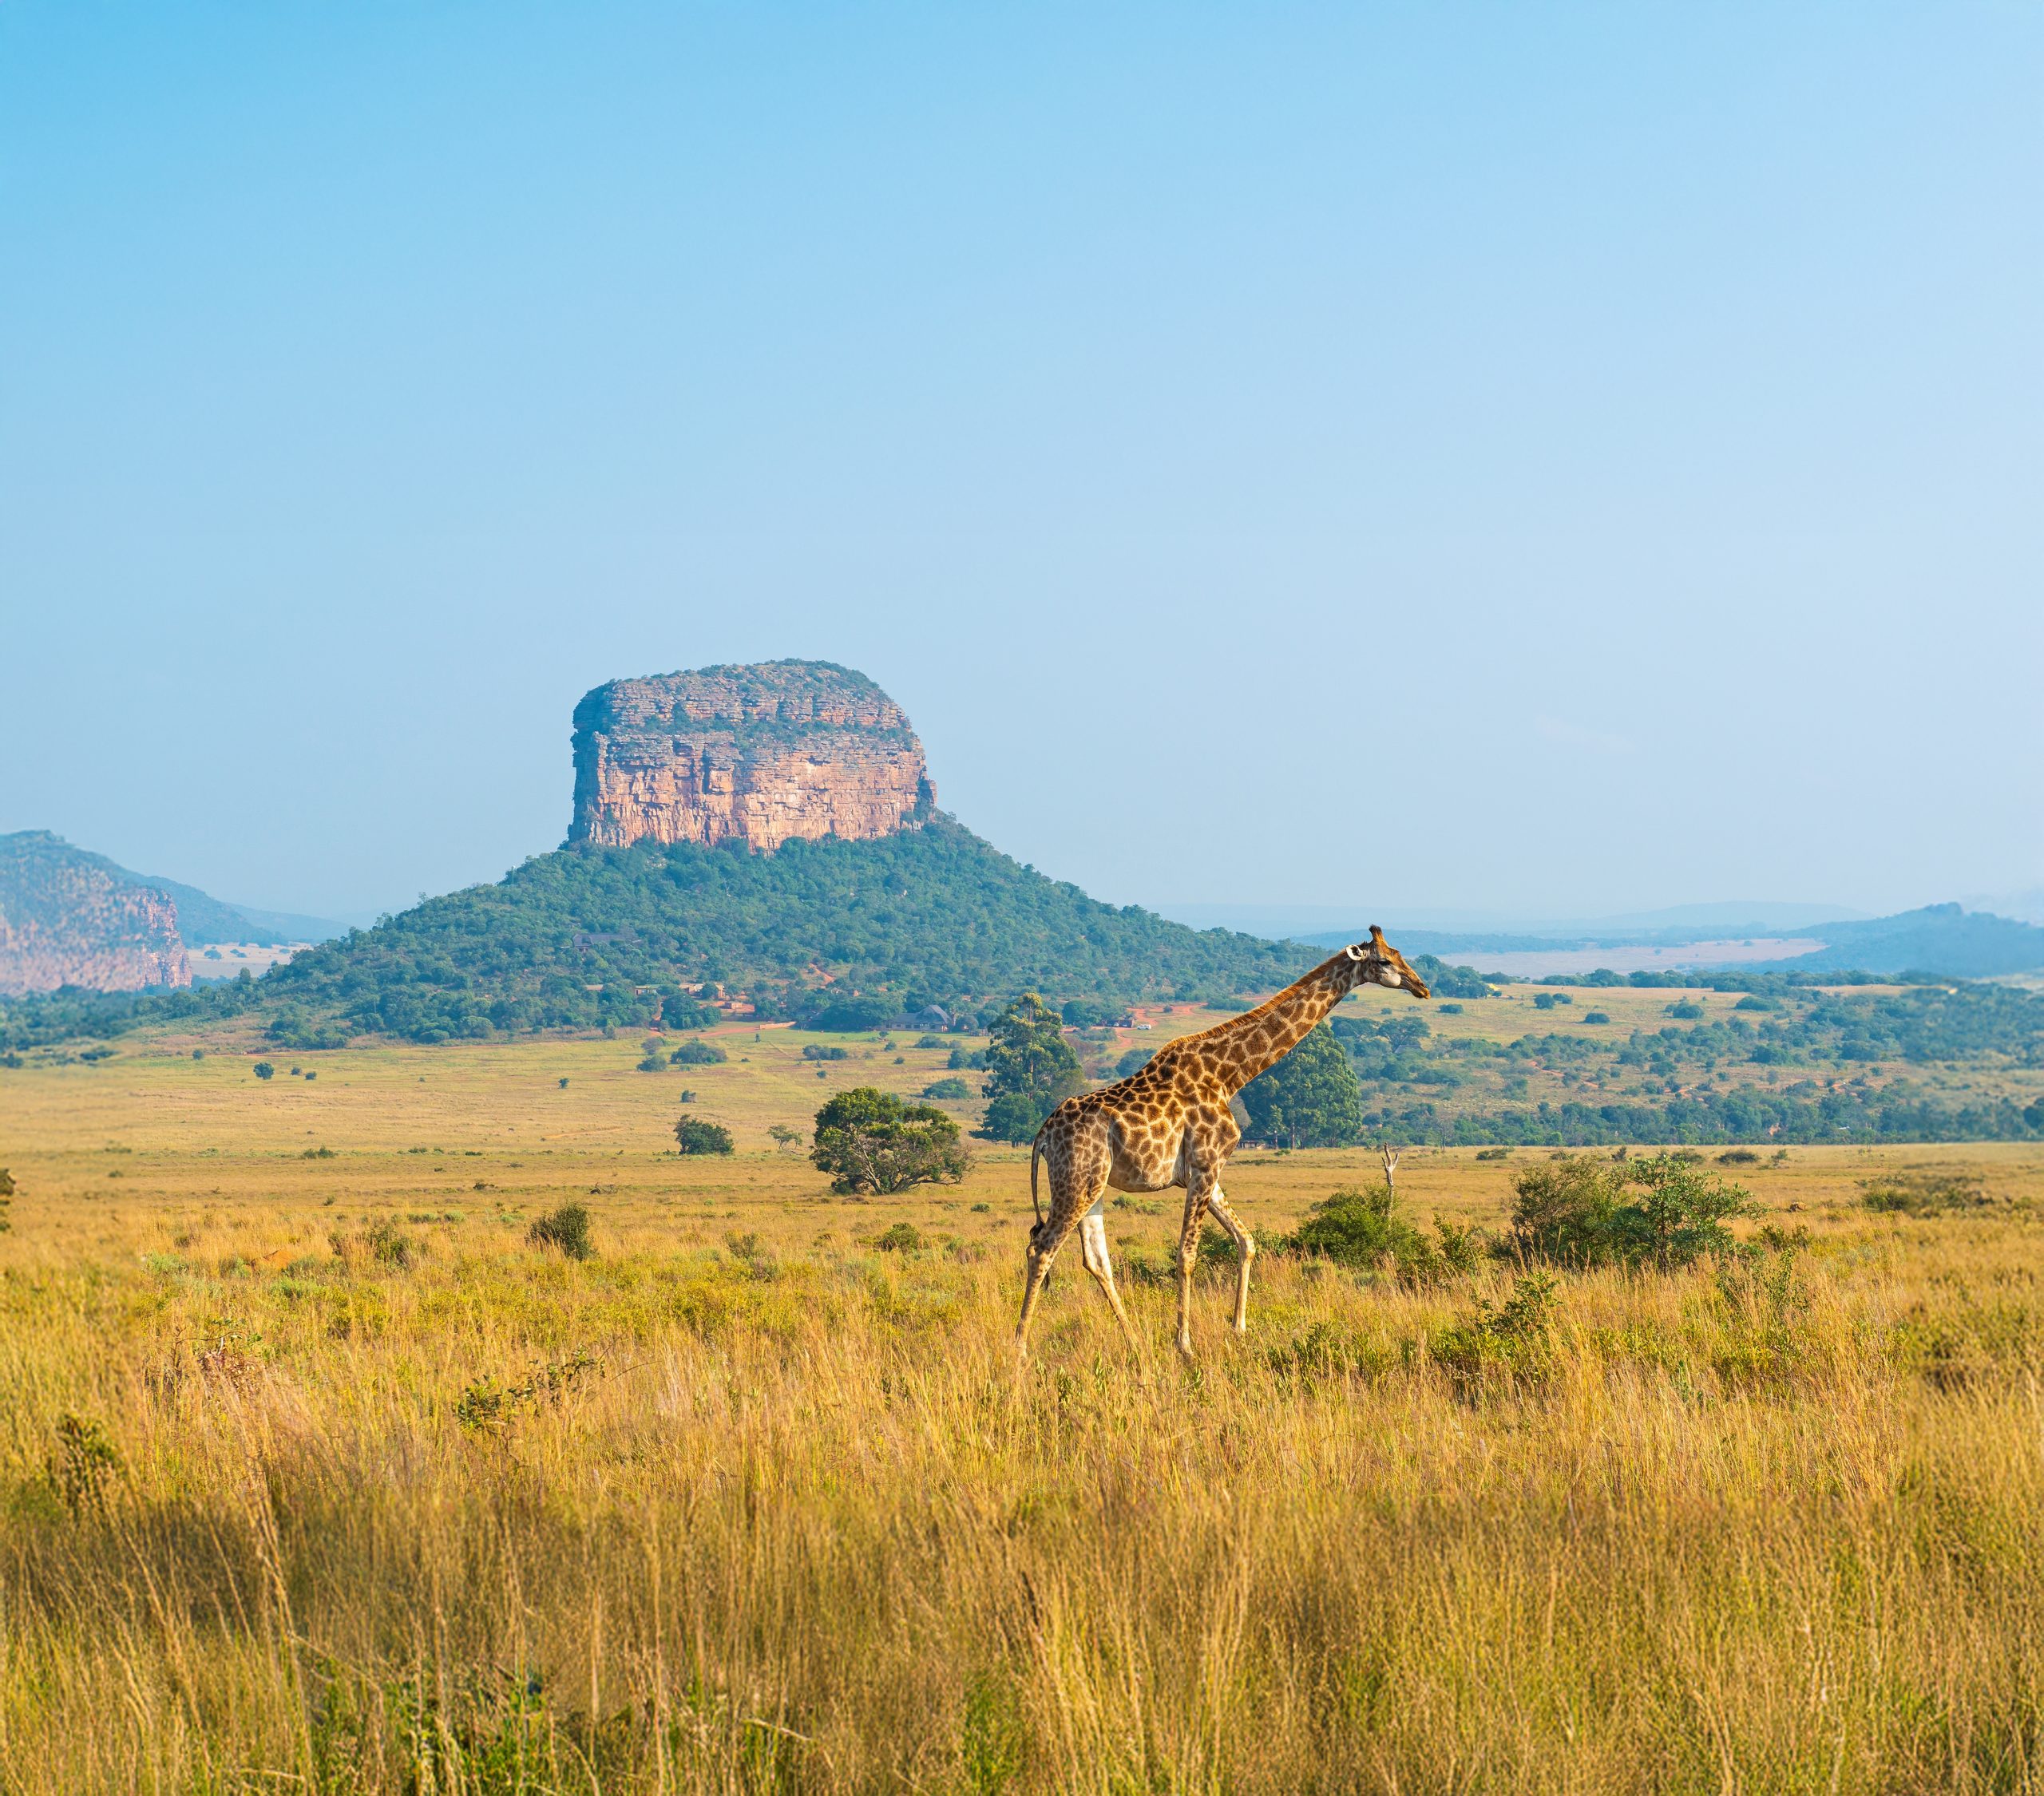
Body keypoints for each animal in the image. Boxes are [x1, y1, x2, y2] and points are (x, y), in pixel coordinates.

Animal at [1015, 926, 1431, 1360]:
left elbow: (1246, 1241)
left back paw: (1135, 1342)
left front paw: (1239, 1328)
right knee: (1041, 1248)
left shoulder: (1209, 1172)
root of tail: (1043, 1134)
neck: (1230, 1075)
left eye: (1399, 953)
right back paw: (1021, 1348)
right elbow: (1187, 1254)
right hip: (1077, 1181)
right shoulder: (1204, 1166)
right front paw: (1184, 1344)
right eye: (1383, 961)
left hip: (1093, 1184)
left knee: (1096, 1260)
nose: (1422, 987)